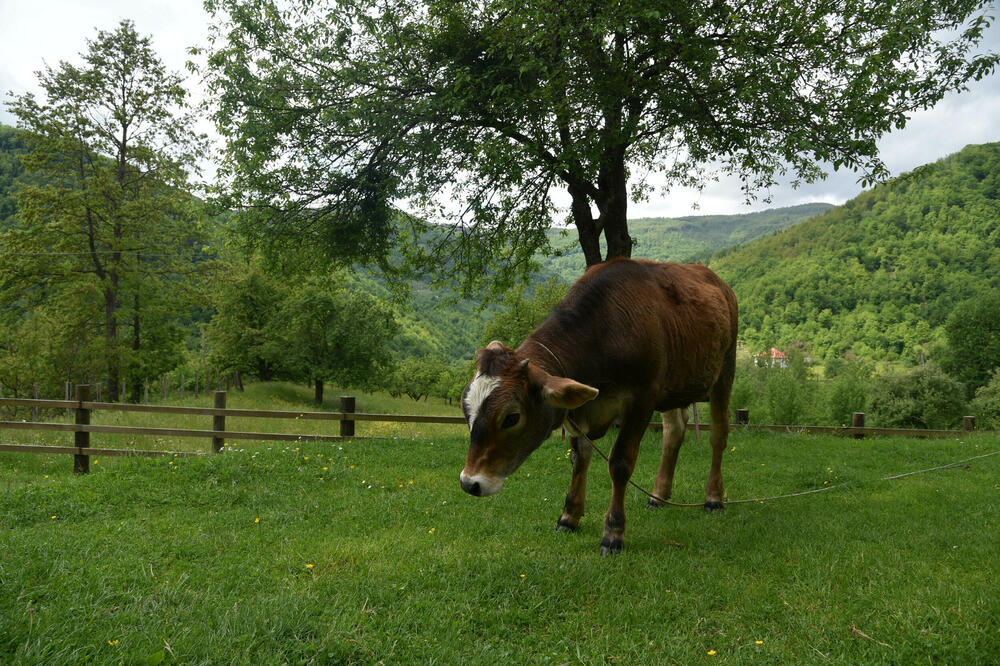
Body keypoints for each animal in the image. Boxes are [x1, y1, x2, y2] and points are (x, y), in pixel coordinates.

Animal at [458, 256, 736, 552]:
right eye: (466, 411)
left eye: (511, 417)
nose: (470, 483)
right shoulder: (582, 408)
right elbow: (580, 458)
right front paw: (569, 516)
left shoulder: (643, 400)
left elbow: (620, 462)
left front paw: (613, 532)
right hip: (674, 386)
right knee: (673, 432)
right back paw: (658, 496)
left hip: (724, 371)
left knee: (719, 434)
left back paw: (714, 498)